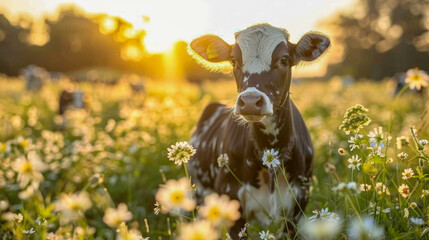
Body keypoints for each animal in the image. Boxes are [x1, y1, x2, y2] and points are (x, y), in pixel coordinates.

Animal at [186, 23, 330, 238]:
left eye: (284, 59)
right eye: (234, 59)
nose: (251, 101)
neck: (269, 148)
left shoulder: (298, 205)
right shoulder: (232, 200)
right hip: (202, 195)